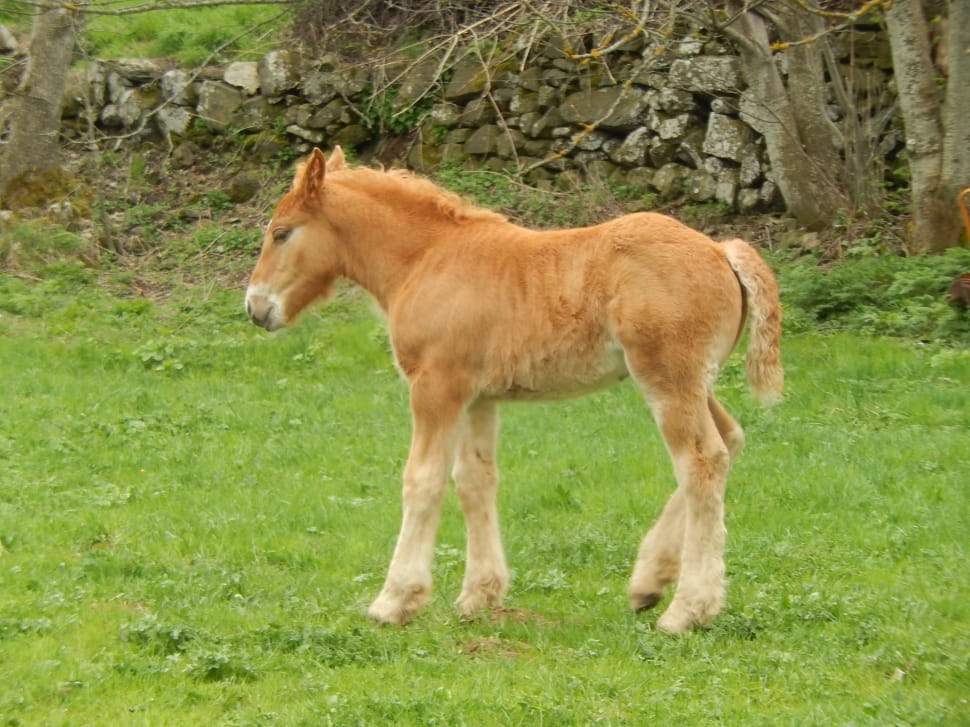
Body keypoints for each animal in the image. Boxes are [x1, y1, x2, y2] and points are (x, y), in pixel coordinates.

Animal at [245, 146, 783, 634]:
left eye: (281, 233)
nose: (255, 307)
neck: (425, 259)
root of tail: (722, 251)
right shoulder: (477, 397)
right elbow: (474, 480)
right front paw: (478, 596)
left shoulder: (436, 386)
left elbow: (422, 481)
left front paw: (394, 601)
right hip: (692, 381)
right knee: (728, 441)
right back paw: (648, 582)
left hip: (667, 379)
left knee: (700, 460)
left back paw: (686, 610)